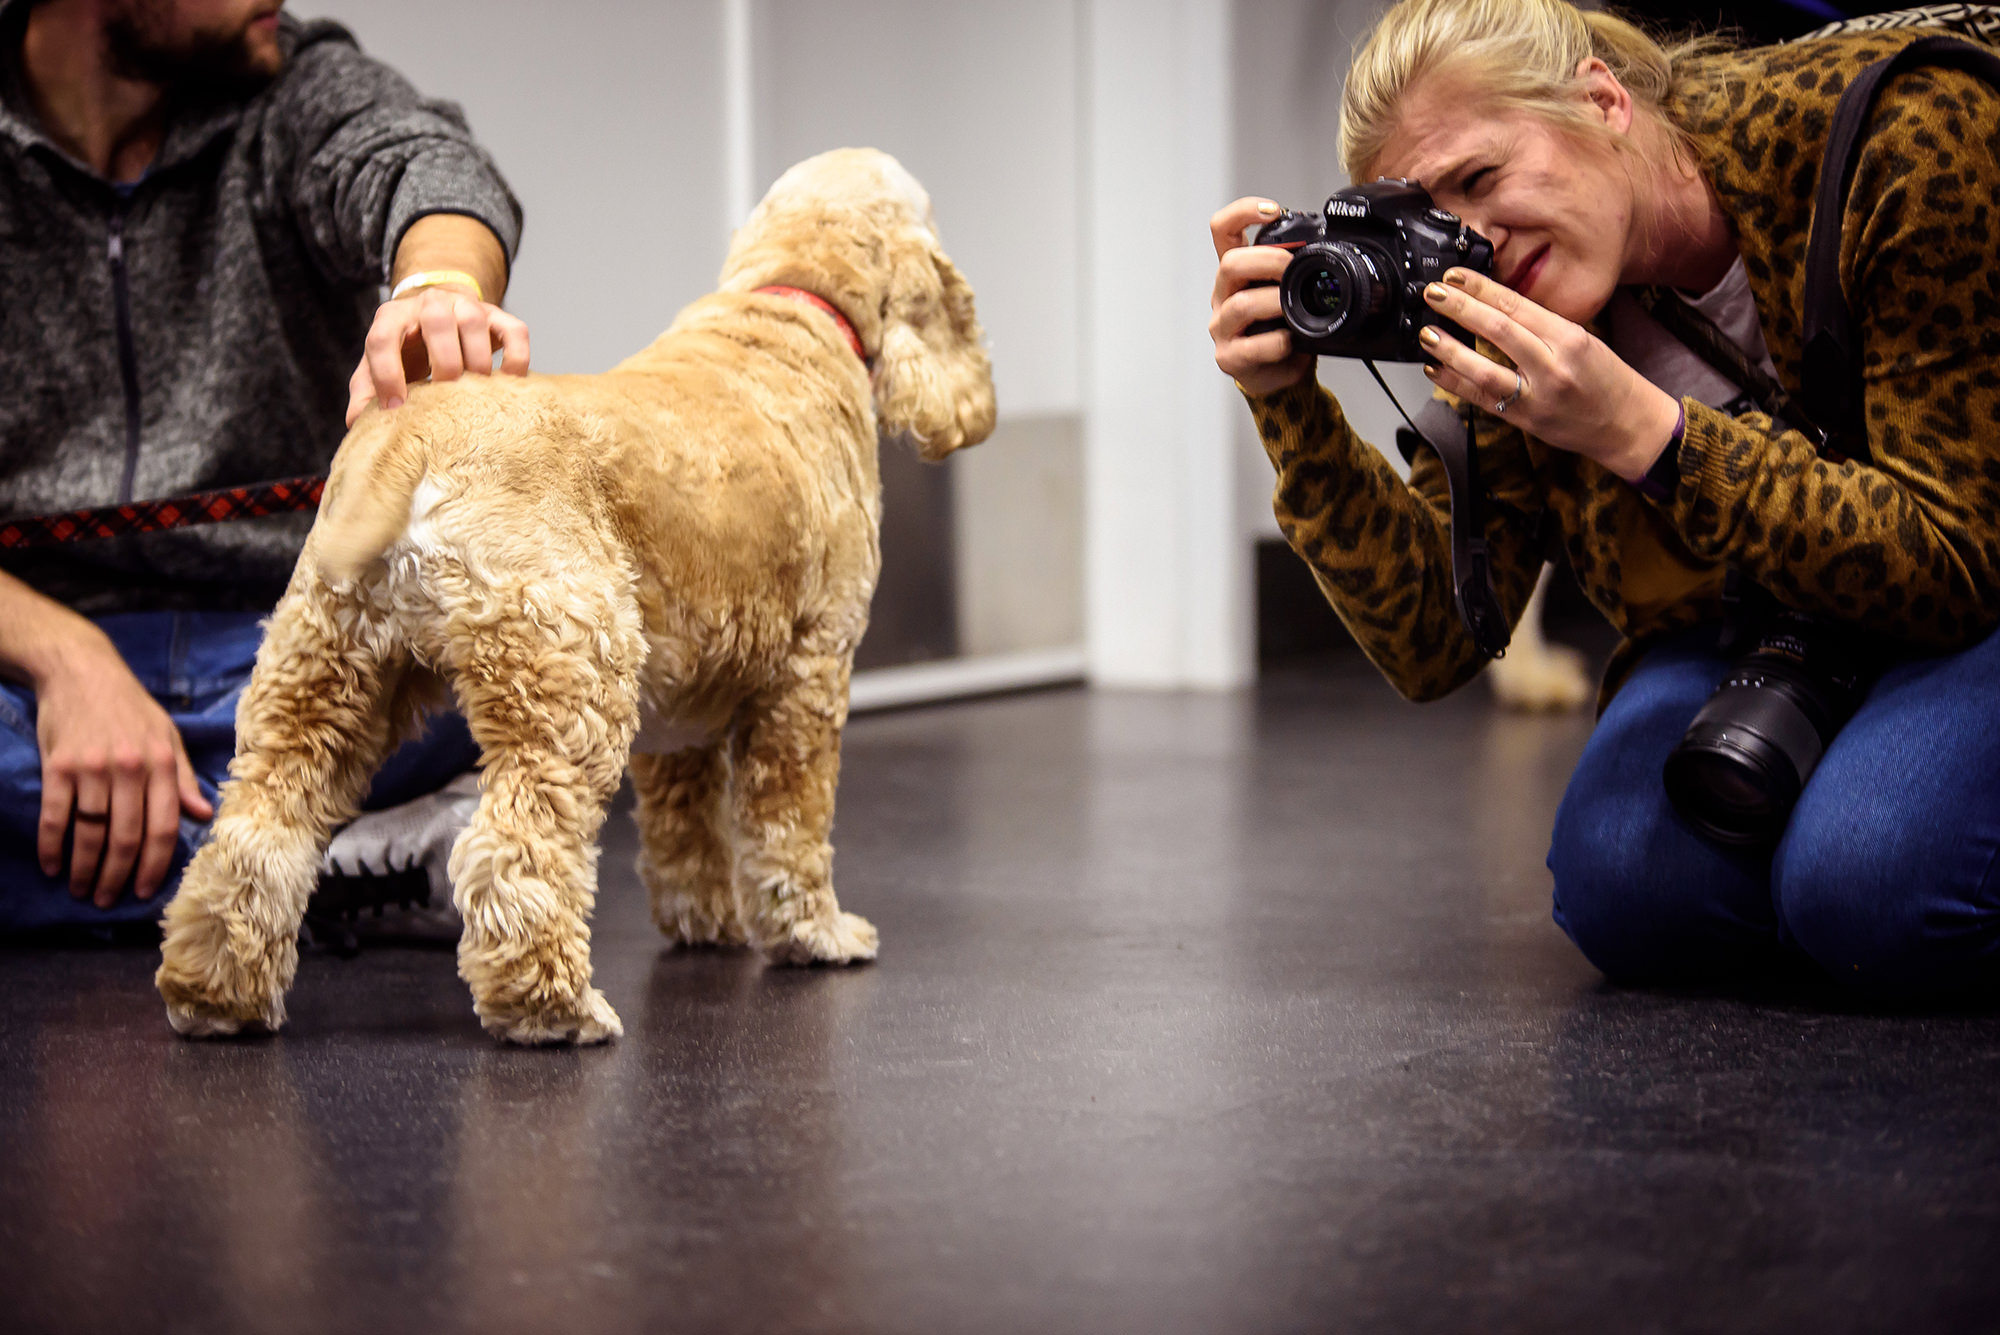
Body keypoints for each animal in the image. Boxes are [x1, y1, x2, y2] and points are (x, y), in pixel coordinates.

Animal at [152, 145, 996, 1039]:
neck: (787, 302)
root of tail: (414, 430)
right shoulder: (810, 674)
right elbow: (788, 827)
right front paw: (816, 935)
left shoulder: (682, 698)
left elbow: (684, 827)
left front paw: (706, 923)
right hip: (570, 676)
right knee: (510, 845)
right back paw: (552, 1005)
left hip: (328, 669)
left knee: (257, 833)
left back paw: (216, 992)